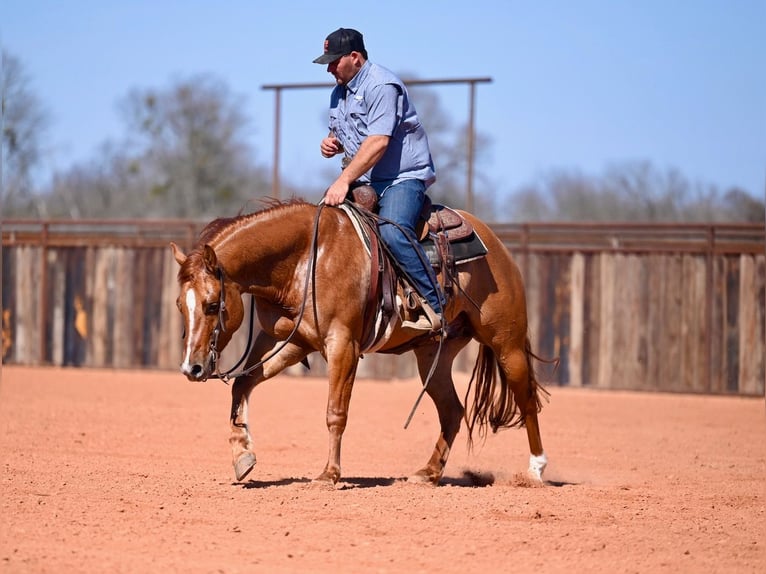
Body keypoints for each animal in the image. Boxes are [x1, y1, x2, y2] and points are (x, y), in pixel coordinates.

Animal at [171, 200, 548, 488]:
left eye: (211, 304)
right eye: (179, 305)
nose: (192, 367)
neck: (307, 258)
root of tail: (496, 245)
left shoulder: (343, 345)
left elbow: (335, 413)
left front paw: (329, 474)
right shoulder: (293, 342)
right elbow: (242, 384)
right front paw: (242, 455)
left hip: (507, 344)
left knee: (527, 400)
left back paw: (535, 471)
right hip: (434, 357)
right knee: (452, 411)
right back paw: (428, 473)